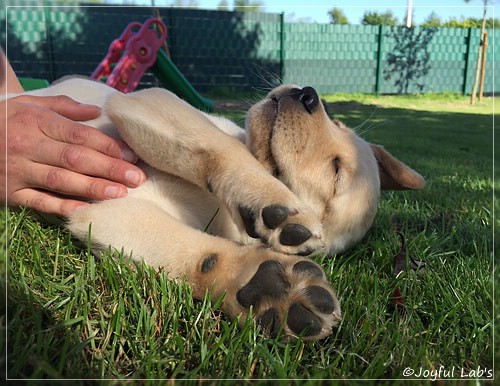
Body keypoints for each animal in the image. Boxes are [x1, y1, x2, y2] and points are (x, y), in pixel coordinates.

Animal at [25, 79, 424, 340]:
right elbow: (221, 146)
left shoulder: (108, 211)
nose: (307, 94)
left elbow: (200, 258)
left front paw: (260, 284)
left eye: (337, 171)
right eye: (337, 122)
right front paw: (272, 200)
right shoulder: (150, 100)